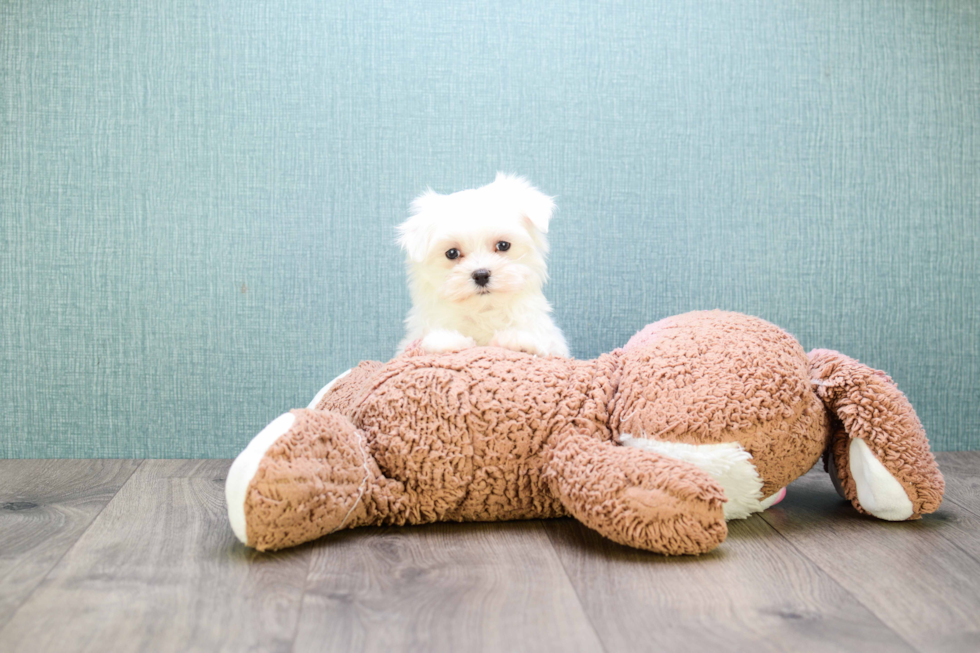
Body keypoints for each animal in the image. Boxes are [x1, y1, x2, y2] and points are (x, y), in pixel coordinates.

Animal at [396, 173, 572, 356]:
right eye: (452, 253)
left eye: (503, 245)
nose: (481, 275)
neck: (484, 311)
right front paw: (448, 341)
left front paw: (518, 340)